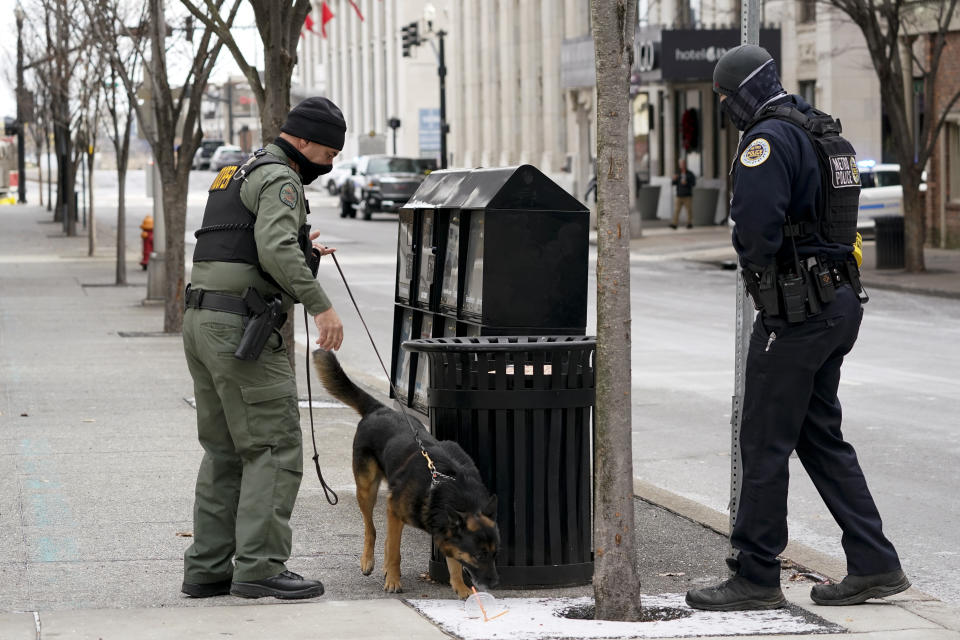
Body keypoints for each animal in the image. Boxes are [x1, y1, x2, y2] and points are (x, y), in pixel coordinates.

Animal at [314, 348, 502, 596]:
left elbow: (453, 562)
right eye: (479, 555)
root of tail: (380, 409)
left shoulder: (444, 530)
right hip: (367, 491)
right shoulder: (395, 510)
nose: (495, 584)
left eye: (495, 553)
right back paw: (369, 561)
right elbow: (394, 550)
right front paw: (394, 580)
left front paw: (461, 588)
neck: (446, 485)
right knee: (372, 530)